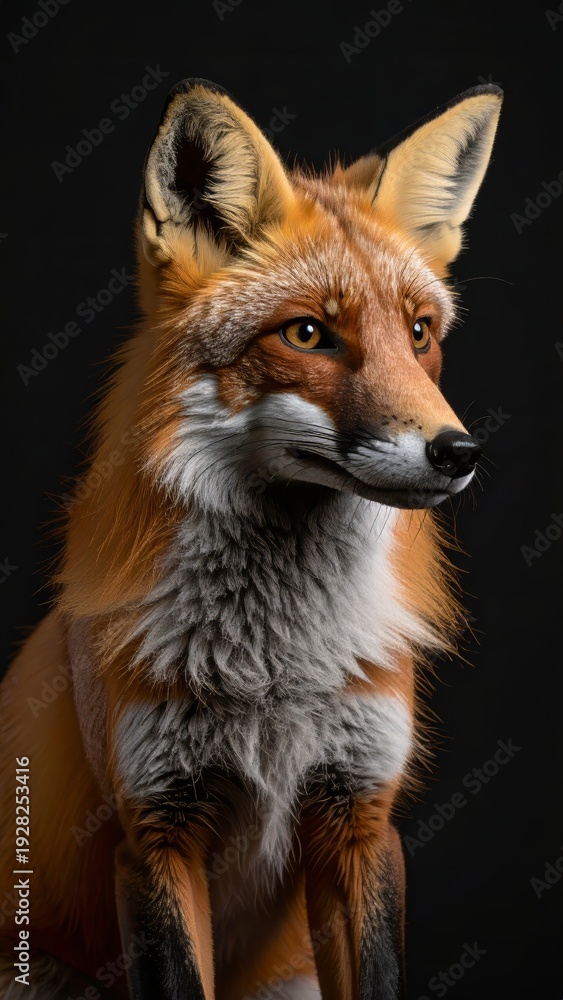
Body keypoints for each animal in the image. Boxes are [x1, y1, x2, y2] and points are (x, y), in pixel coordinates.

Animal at [0, 79, 502, 1000]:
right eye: (306, 334)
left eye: (418, 332)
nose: (458, 453)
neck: (277, 674)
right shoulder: (154, 832)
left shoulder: (359, 819)